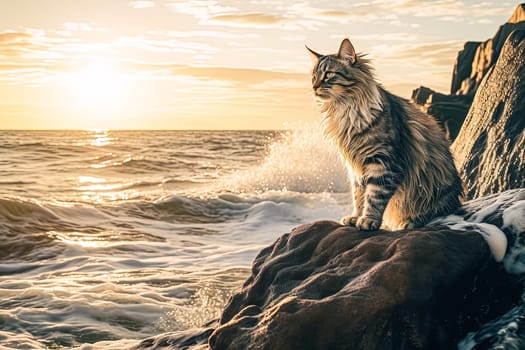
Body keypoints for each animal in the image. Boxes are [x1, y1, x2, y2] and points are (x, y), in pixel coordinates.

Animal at [308, 38, 462, 231]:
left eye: (329, 74)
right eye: (314, 76)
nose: (314, 87)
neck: (345, 111)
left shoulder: (383, 162)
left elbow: (374, 196)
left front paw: (368, 220)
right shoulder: (356, 169)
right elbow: (358, 196)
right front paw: (355, 217)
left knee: (435, 211)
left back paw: (409, 221)